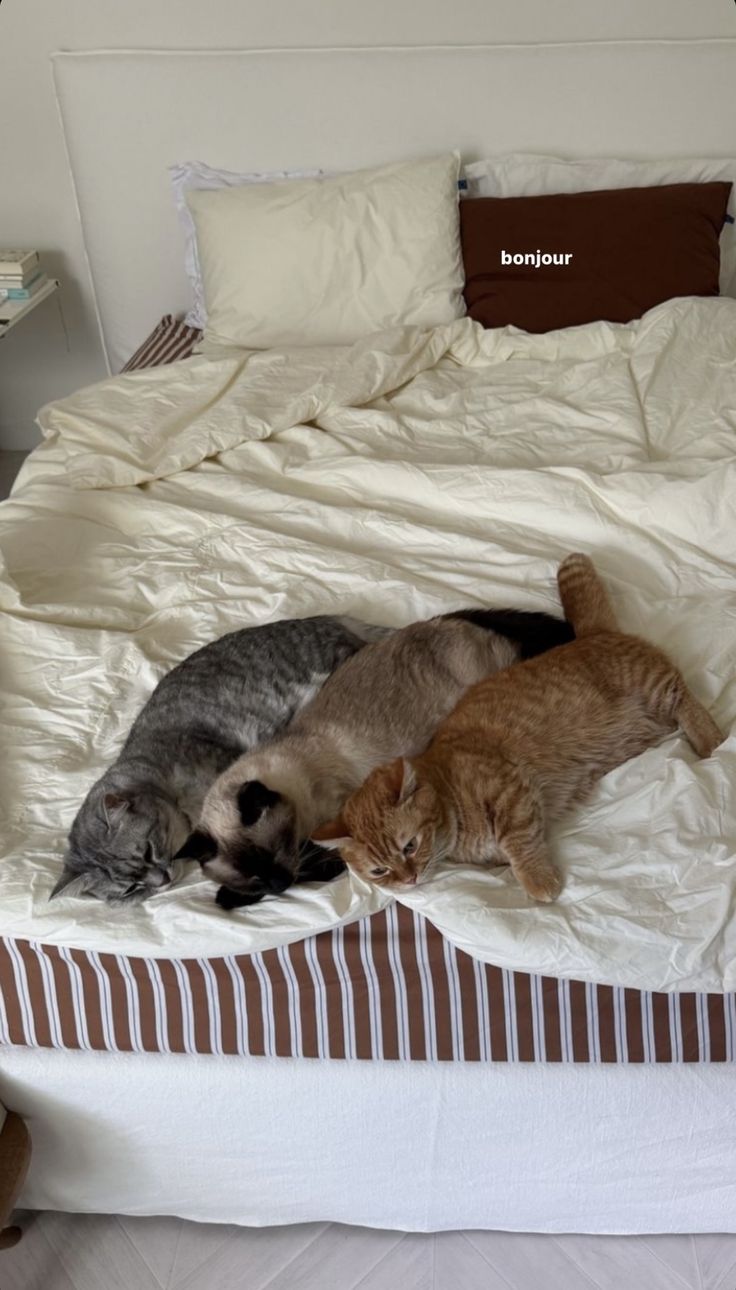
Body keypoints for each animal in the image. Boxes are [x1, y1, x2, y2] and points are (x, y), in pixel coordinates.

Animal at [314, 554, 721, 897]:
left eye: (409, 846)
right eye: (379, 871)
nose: (408, 880)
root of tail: (592, 633)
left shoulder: (511, 792)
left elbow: (518, 841)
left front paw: (538, 881)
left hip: (654, 687)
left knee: (686, 698)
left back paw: (712, 743)